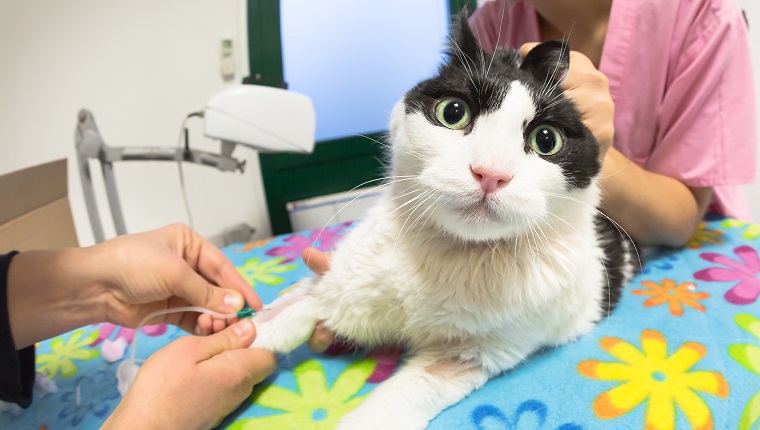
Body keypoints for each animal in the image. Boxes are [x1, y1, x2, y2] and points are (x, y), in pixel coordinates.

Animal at [249, 11, 636, 428]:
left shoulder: (472, 354)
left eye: (546, 140)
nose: (490, 173)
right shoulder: (340, 285)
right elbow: (270, 320)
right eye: (453, 113)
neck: (455, 256)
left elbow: (400, 399)